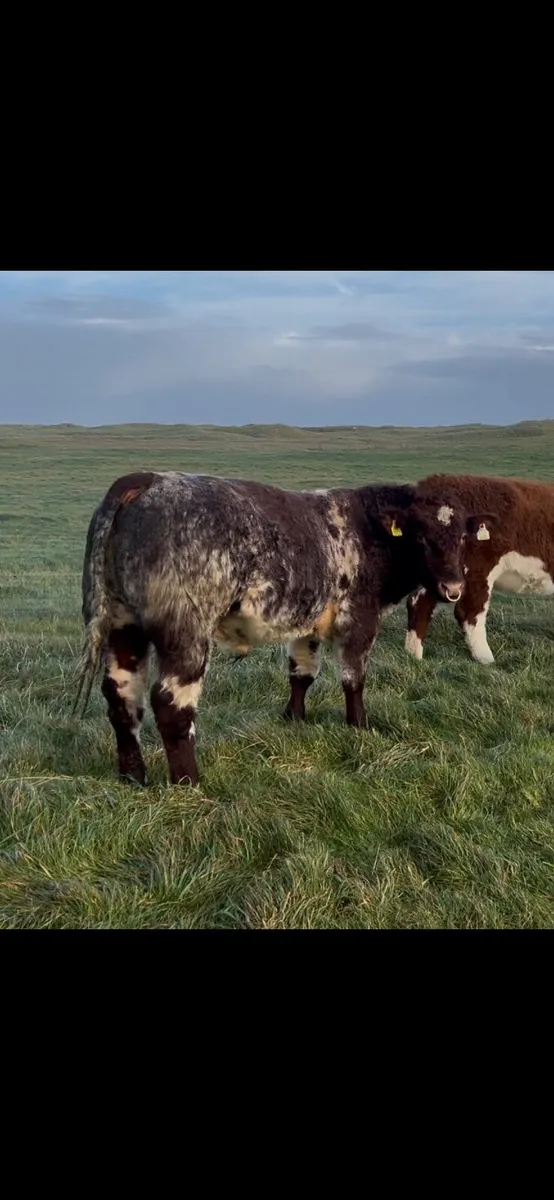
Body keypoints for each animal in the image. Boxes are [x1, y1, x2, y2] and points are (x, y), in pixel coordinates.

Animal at [75, 470, 496, 787]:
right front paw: (359, 726)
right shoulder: (358, 618)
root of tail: (146, 479)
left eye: (462, 537)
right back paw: (188, 782)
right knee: (170, 703)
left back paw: (133, 776)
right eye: (421, 536)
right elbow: (353, 679)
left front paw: (294, 718)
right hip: (185, 634)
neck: (366, 529)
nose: (453, 588)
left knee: (121, 695)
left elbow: (301, 673)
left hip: (122, 624)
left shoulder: (306, 622)